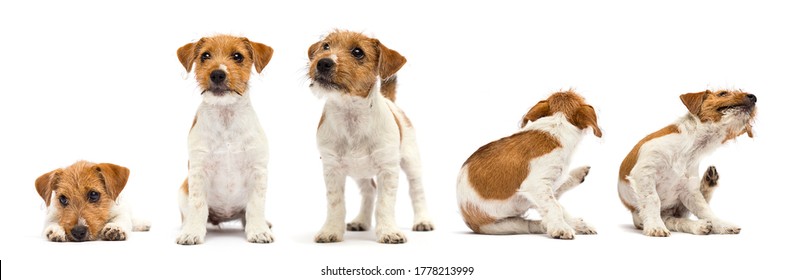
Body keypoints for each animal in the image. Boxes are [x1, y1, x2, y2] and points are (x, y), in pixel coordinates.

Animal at [308, 29, 434, 243]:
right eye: (325, 46)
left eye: (358, 52)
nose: (323, 62)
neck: (351, 114)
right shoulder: (332, 169)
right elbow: (336, 203)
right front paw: (331, 230)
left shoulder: (388, 170)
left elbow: (384, 204)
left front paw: (389, 231)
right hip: (360, 172)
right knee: (369, 191)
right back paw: (361, 221)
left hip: (411, 162)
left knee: (417, 191)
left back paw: (423, 220)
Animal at [454, 91, 596, 240]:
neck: (557, 123)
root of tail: (466, 218)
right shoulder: (536, 184)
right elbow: (554, 206)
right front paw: (561, 228)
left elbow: (556, 204)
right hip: (501, 225)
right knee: (533, 224)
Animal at [620, 89, 756, 236]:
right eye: (723, 93)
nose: (754, 97)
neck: (691, 148)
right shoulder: (645, 171)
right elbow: (652, 199)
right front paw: (656, 227)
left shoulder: (689, 189)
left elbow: (705, 210)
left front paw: (722, 225)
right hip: (642, 217)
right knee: (672, 221)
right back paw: (700, 225)